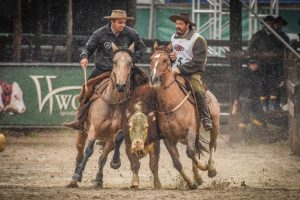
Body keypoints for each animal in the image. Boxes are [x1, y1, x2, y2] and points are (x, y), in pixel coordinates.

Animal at [68, 43, 135, 188]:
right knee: (80, 153)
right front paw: (77, 175)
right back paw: (75, 176)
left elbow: (106, 153)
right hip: (81, 132)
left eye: (130, 63)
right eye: (114, 61)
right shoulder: (93, 129)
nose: (120, 85)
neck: (113, 103)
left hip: (106, 140)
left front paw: (114, 163)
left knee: (102, 156)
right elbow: (89, 150)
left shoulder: (114, 134)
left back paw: (99, 178)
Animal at [150, 43, 220, 189]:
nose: (154, 79)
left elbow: (190, 152)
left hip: (215, 126)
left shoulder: (191, 130)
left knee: (211, 145)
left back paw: (211, 168)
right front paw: (191, 183)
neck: (171, 104)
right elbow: (177, 162)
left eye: (165, 60)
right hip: (182, 138)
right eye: (151, 59)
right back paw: (198, 178)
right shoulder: (168, 139)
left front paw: (203, 166)